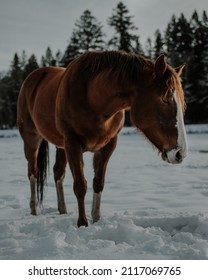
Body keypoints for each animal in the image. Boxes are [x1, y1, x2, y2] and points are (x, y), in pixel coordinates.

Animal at [17, 49, 187, 226]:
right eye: (165, 100)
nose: (180, 153)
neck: (93, 100)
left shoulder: (108, 145)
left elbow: (98, 182)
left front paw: (96, 218)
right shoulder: (72, 143)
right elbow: (80, 185)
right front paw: (82, 223)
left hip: (60, 145)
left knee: (58, 172)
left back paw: (62, 209)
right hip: (31, 139)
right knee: (33, 172)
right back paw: (34, 209)